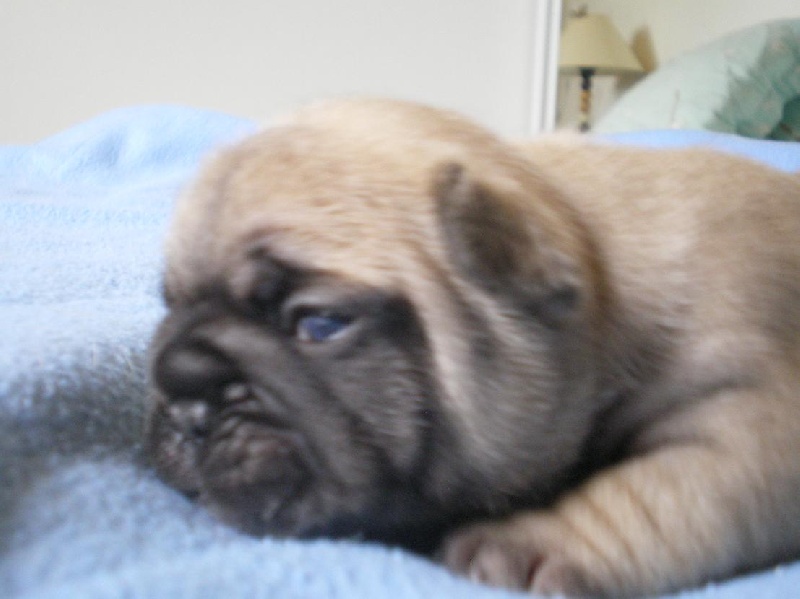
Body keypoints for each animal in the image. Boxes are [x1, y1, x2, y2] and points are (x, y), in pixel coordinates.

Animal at [145, 98, 800, 597]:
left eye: (322, 325)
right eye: (171, 302)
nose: (182, 386)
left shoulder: (746, 419)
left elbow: (655, 495)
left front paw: (531, 544)